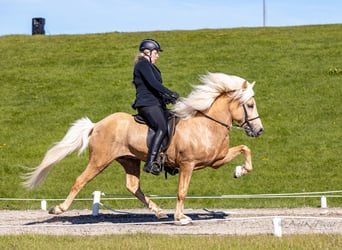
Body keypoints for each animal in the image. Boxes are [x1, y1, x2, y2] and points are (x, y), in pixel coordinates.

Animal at [22, 72, 264, 225]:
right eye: (250, 105)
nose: (259, 130)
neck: (206, 123)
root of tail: (97, 124)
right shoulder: (188, 164)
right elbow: (182, 191)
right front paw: (181, 218)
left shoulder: (216, 160)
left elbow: (245, 149)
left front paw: (239, 171)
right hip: (100, 160)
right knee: (80, 181)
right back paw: (58, 209)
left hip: (129, 160)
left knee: (132, 186)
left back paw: (158, 211)